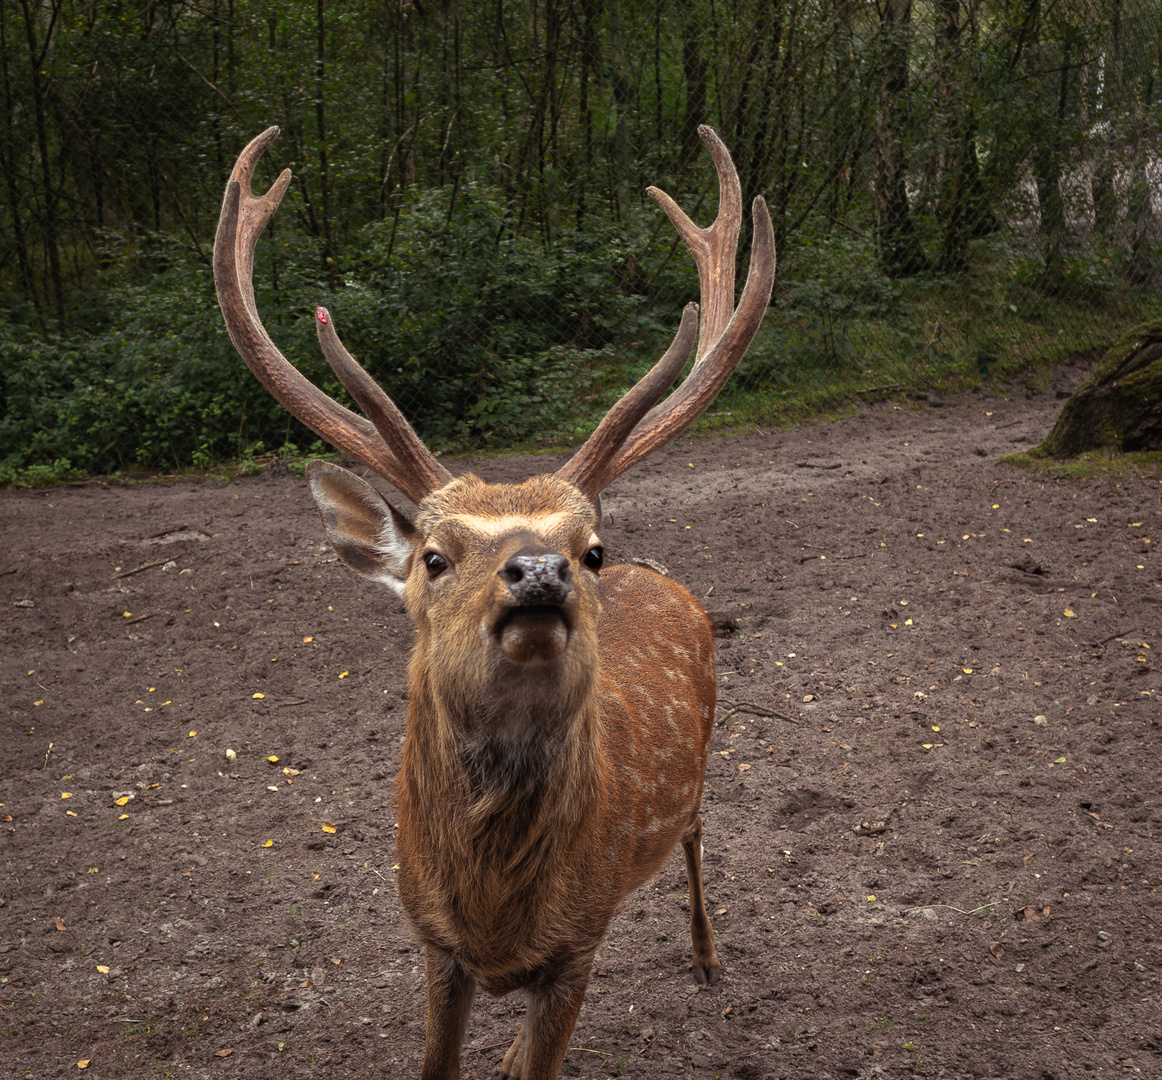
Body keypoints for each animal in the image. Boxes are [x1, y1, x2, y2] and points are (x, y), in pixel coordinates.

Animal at [213, 122, 776, 1074]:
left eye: (592, 550)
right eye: (434, 558)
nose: (540, 571)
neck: (496, 908)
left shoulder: (580, 943)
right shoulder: (432, 941)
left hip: (703, 759)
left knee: (697, 835)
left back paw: (705, 955)